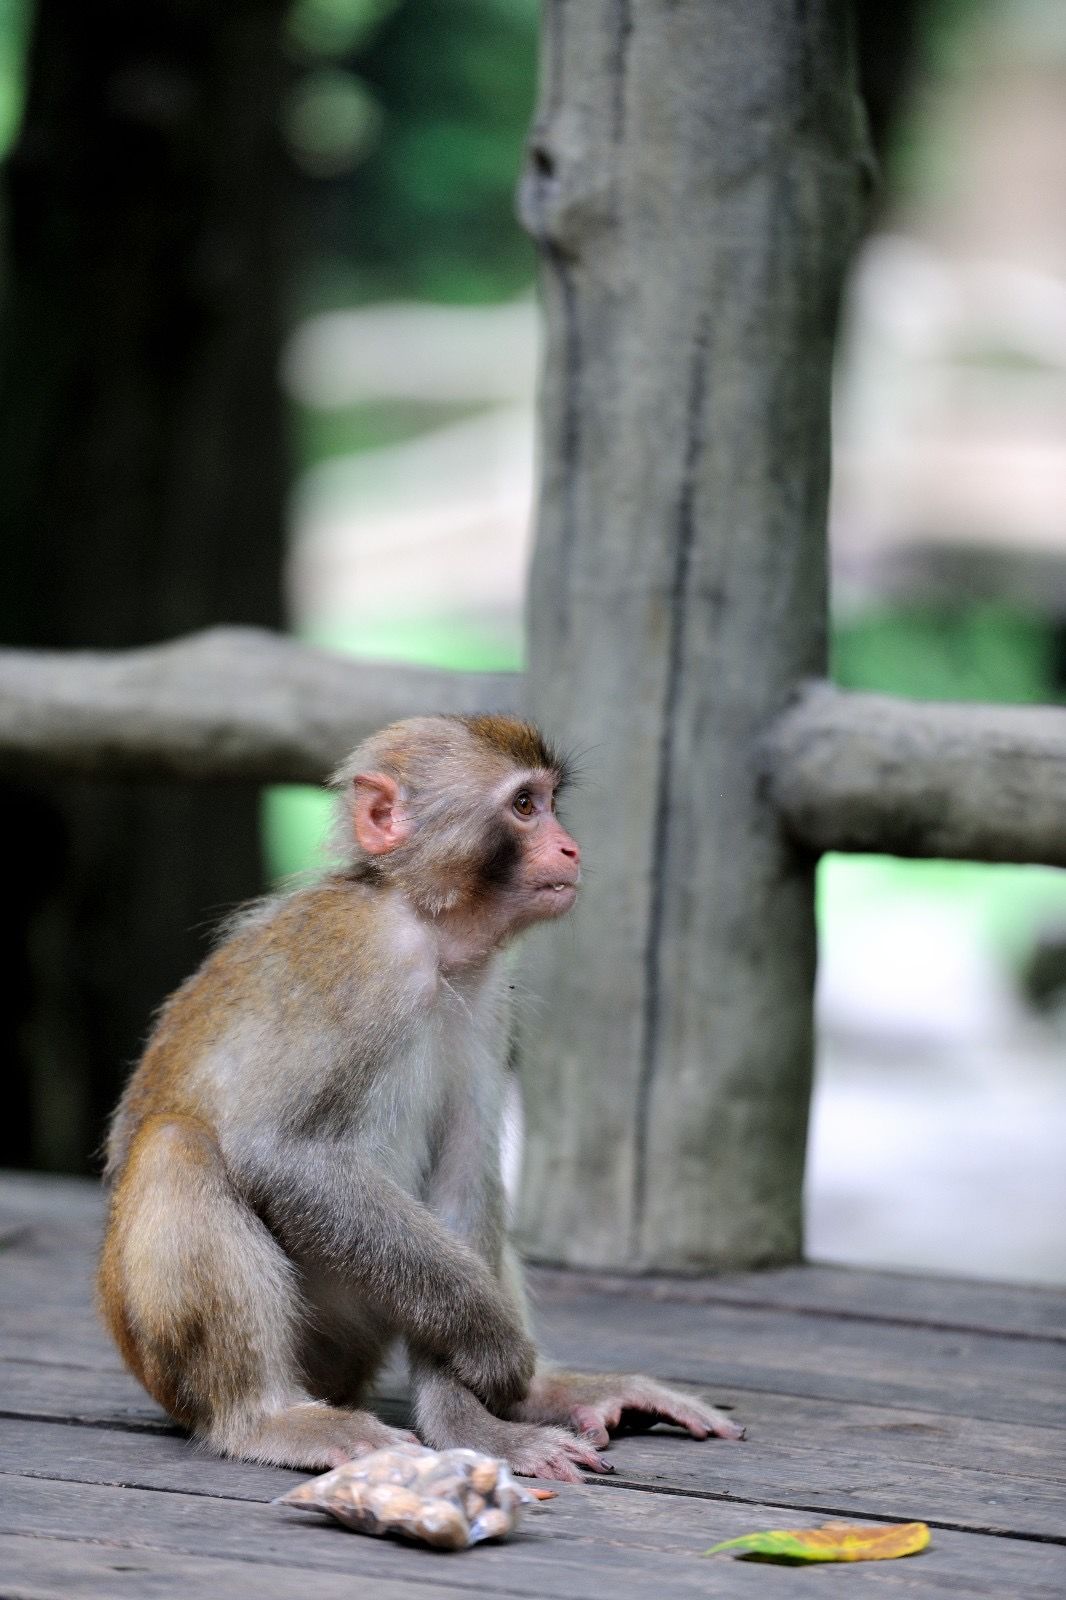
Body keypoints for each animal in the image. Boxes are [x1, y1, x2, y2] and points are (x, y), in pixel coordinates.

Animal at [97, 720, 739, 1478]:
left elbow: (463, 1168)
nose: (570, 847)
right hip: (179, 1354)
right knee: (177, 1146)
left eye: (551, 802)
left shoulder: (488, 998)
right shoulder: (361, 963)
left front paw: (474, 1416)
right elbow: (281, 1154)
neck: (432, 935)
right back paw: (265, 1417)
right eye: (525, 806)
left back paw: (548, 1391)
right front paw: (492, 1347)